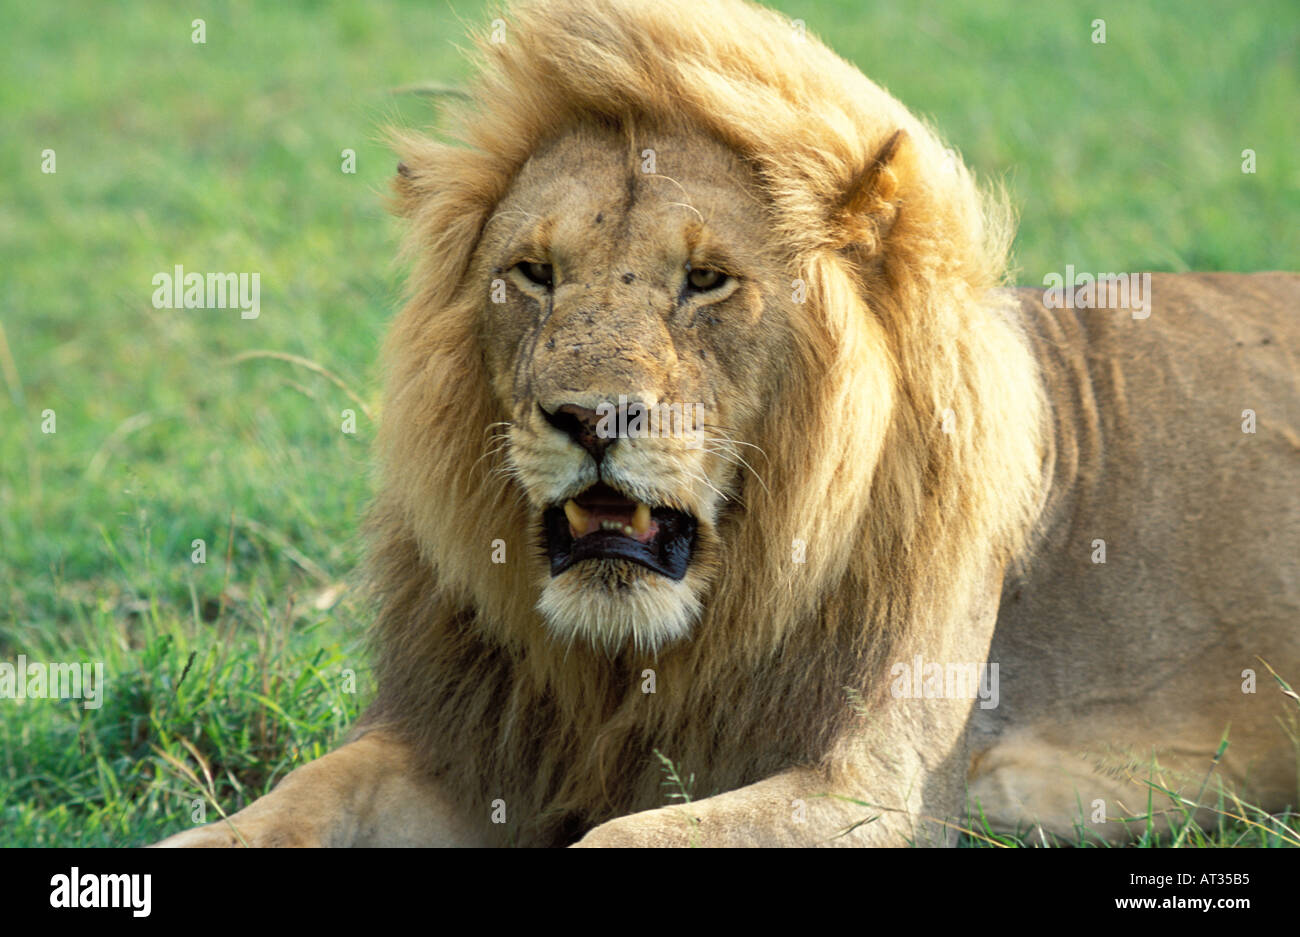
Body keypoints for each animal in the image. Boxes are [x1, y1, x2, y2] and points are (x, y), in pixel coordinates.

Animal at [154, 0, 1300, 847]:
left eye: (705, 280)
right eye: (533, 272)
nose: (588, 418)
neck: (641, 657)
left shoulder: (876, 782)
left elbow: (622, 835)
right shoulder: (472, 746)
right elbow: (295, 797)